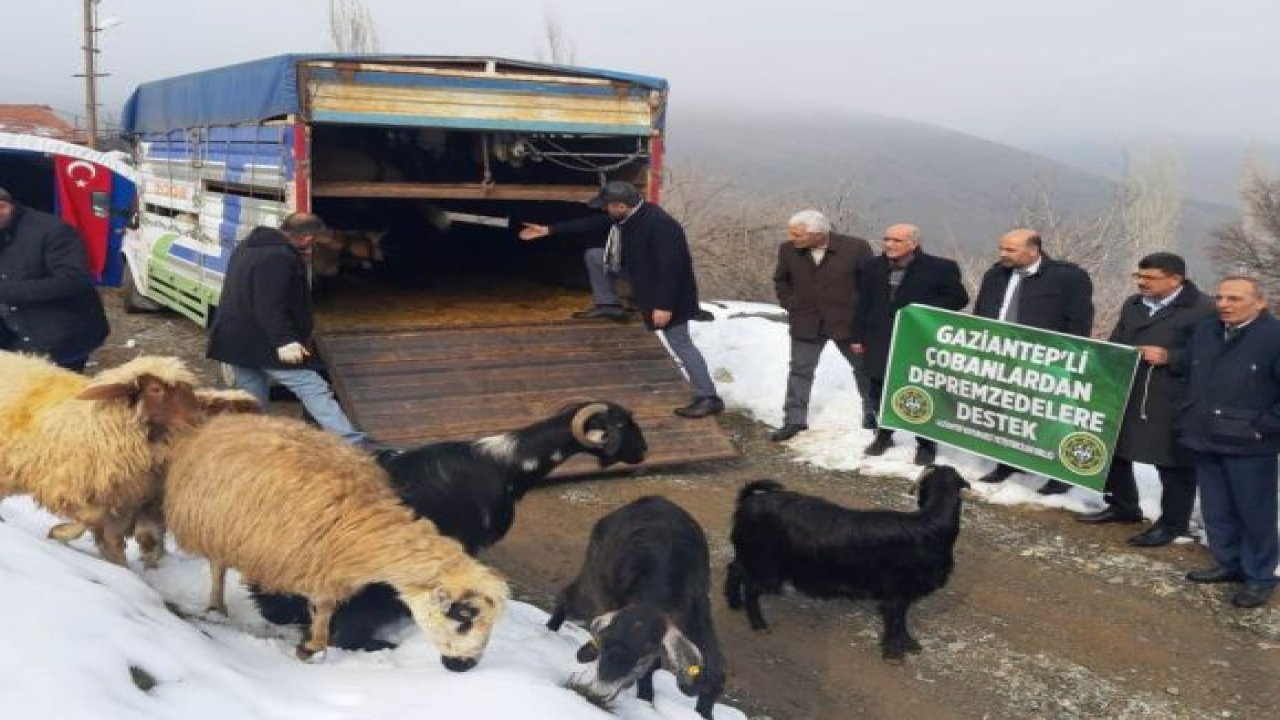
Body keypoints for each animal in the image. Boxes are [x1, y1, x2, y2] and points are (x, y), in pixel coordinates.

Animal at [0, 351, 203, 563]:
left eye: (188, 389)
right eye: (156, 389)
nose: (199, 420)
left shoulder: (128, 502)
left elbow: (114, 535)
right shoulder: (67, 486)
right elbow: (92, 518)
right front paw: (59, 532)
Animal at [547, 491, 727, 717]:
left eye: (643, 655)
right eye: (605, 645)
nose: (598, 693)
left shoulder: (698, 617)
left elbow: (714, 672)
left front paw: (703, 711)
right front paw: (646, 699)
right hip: (592, 581)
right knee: (567, 597)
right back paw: (550, 630)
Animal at [727, 461, 962, 661]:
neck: (930, 527)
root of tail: (749, 501)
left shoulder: (902, 594)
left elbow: (900, 620)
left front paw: (909, 645)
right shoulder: (897, 592)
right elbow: (895, 620)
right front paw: (893, 653)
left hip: (751, 558)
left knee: (735, 569)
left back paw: (734, 603)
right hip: (765, 566)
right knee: (750, 587)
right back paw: (759, 624)